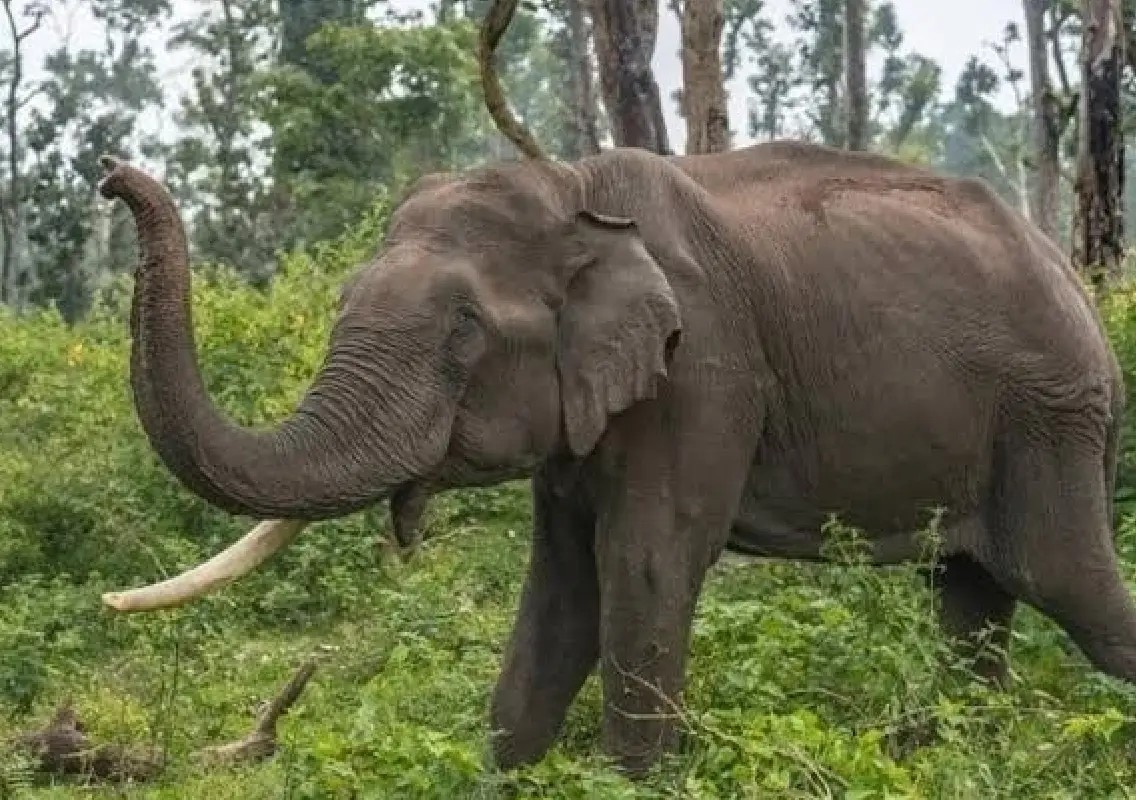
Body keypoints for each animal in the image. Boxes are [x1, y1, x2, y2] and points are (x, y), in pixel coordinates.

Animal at [96, 140, 1130, 775]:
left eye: (463, 333)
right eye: (343, 300)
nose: (108, 173)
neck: (573, 189)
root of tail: (1078, 283)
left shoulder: (703, 371)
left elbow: (645, 563)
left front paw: (627, 777)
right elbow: (559, 584)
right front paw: (506, 767)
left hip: (1052, 422)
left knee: (1063, 582)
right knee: (973, 598)